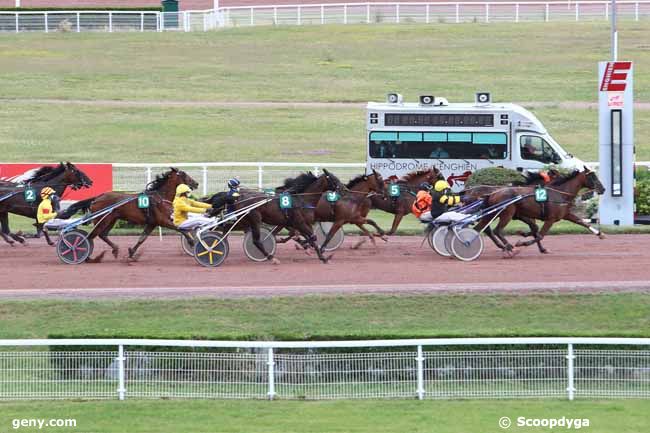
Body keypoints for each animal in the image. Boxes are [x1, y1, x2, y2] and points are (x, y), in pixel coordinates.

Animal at [58, 166, 195, 260]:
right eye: (184, 174)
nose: (196, 183)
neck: (159, 197)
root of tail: (98, 197)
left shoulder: (152, 223)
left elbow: (142, 238)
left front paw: (131, 252)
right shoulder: (162, 221)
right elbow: (180, 228)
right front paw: (192, 242)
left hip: (111, 219)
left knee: (102, 235)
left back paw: (115, 249)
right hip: (103, 219)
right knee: (91, 236)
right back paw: (84, 254)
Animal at [470, 166, 604, 256]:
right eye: (592, 177)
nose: (603, 189)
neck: (559, 194)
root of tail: (492, 194)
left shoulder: (565, 214)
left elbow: (582, 222)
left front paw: (600, 234)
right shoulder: (549, 219)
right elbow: (540, 235)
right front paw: (521, 243)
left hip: (491, 214)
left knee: (480, 229)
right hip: (507, 214)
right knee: (497, 230)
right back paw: (509, 247)